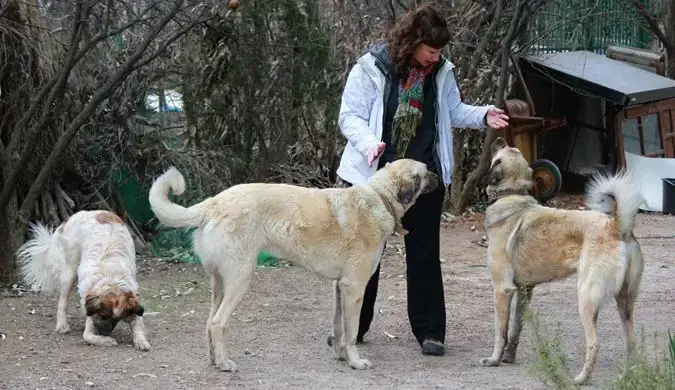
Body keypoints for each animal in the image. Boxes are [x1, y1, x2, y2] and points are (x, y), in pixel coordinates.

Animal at [16, 210, 151, 350]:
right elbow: (88, 336)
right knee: (62, 302)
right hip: (69, 272)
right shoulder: (90, 311)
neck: (111, 279)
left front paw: (141, 340)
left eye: (116, 320)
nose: (103, 332)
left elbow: (137, 322)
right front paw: (106, 340)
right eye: (102, 315)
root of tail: (85, 212)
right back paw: (62, 325)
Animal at [150, 158, 440, 372]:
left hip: (220, 284)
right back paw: (224, 363)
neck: (380, 197)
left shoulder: (339, 287)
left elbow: (338, 327)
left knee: (209, 322)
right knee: (218, 323)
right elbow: (352, 330)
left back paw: (213, 360)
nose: (441, 177)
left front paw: (341, 356)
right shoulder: (354, 288)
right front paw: (356, 362)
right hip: (240, 280)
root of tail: (213, 202)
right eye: (426, 171)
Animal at [478, 137, 648, 384]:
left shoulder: (502, 290)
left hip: (586, 298)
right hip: (624, 303)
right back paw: (627, 376)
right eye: (513, 149)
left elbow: (500, 332)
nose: (499, 138)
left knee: (594, 344)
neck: (512, 195)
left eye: (500, 153)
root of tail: (616, 227)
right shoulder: (525, 291)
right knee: (631, 342)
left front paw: (494, 360)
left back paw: (580, 379)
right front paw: (509, 357)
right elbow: (516, 328)